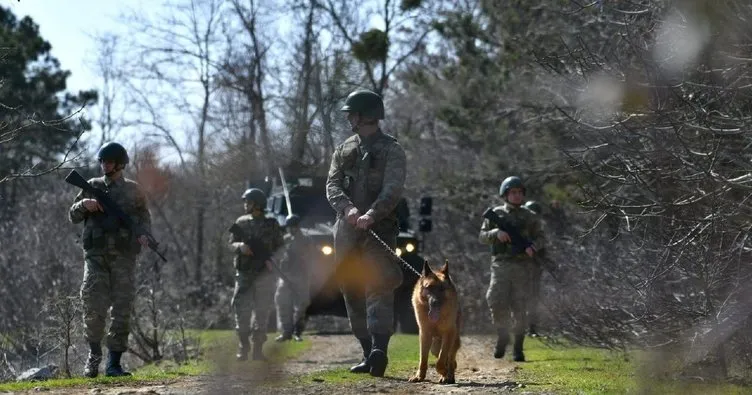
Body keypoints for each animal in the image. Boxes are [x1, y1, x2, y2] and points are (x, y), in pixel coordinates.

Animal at [408, 258, 462, 386]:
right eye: (429, 287)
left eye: (442, 289)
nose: (435, 302)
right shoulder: (424, 335)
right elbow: (423, 359)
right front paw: (419, 377)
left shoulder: (448, 334)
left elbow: (441, 361)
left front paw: (444, 372)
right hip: (435, 347)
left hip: (452, 341)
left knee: (451, 360)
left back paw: (449, 377)